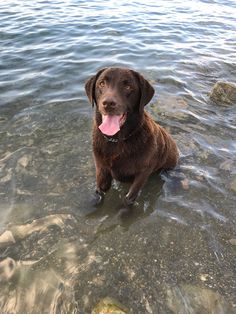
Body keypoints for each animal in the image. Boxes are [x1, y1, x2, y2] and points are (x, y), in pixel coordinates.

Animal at [85, 67, 179, 205]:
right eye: (101, 83)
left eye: (128, 86)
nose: (108, 103)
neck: (117, 140)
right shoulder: (101, 168)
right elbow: (100, 191)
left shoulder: (143, 173)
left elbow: (130, 197)